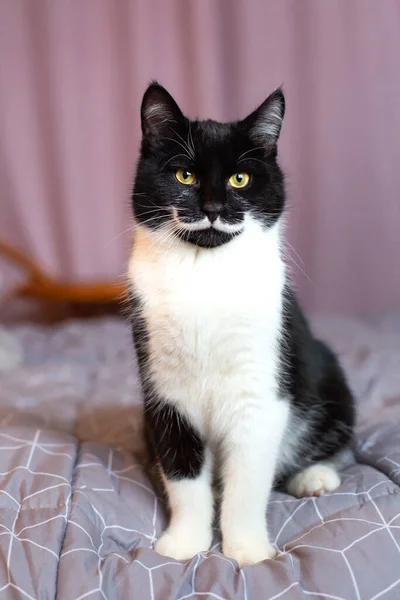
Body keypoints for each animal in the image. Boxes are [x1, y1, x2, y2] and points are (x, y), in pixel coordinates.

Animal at [126, 82, 354, 564]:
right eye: (185, 176)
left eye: (240, 179)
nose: (213, 208)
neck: (205, 268)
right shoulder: (166, 395)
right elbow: (183, 474)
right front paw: (185, 544)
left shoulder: (260, 392)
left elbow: (247, 482)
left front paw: (248, 550)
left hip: (327, 373)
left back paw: (314, 477)